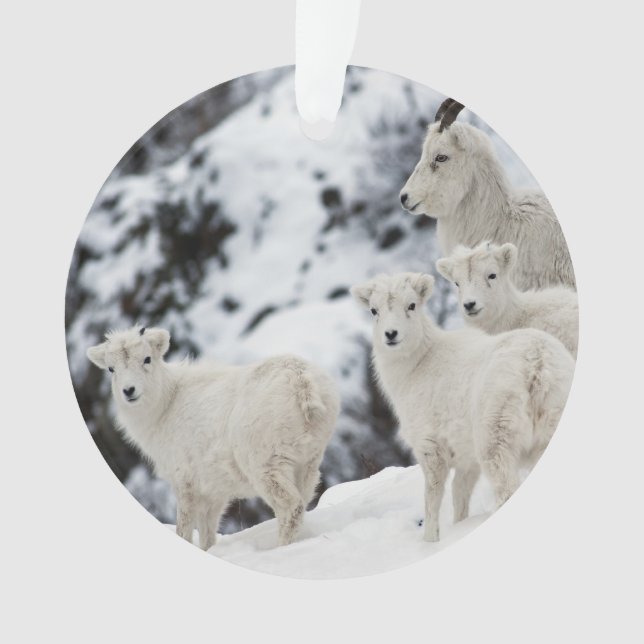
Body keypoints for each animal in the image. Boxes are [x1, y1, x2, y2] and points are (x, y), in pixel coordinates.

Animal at [86, 325, 340, 549]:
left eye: (147, 359)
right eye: (111, 369)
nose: (129, 391)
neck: (166, 406)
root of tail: (301, 382)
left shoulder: (185, 483)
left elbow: (185, 528)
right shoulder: (213, 493)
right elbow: (208, 534)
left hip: (266, 467)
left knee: (290, 508)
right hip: (307, 464)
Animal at [351, 272, 574, 542]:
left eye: (412, 305)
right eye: (374, 310)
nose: (390, 334)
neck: (416, 366)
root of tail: (538, 365)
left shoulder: (431, 448)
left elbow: (433, 497)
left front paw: (430, 541)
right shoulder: (467, 459)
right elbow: (460, 496)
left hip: (496, 441)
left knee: (506, 490)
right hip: (547, 431)